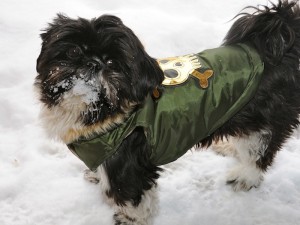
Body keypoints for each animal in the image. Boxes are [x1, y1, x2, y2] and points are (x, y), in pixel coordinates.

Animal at [34, 0, 300, 224]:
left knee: (260, 149)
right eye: (73, 52)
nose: (93, 63)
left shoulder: (128, 162)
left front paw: (132, 219)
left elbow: (133, 196)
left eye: (112, 63)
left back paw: (246, 176)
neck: (97, 111)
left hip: (265, 119)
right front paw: (96, 176)